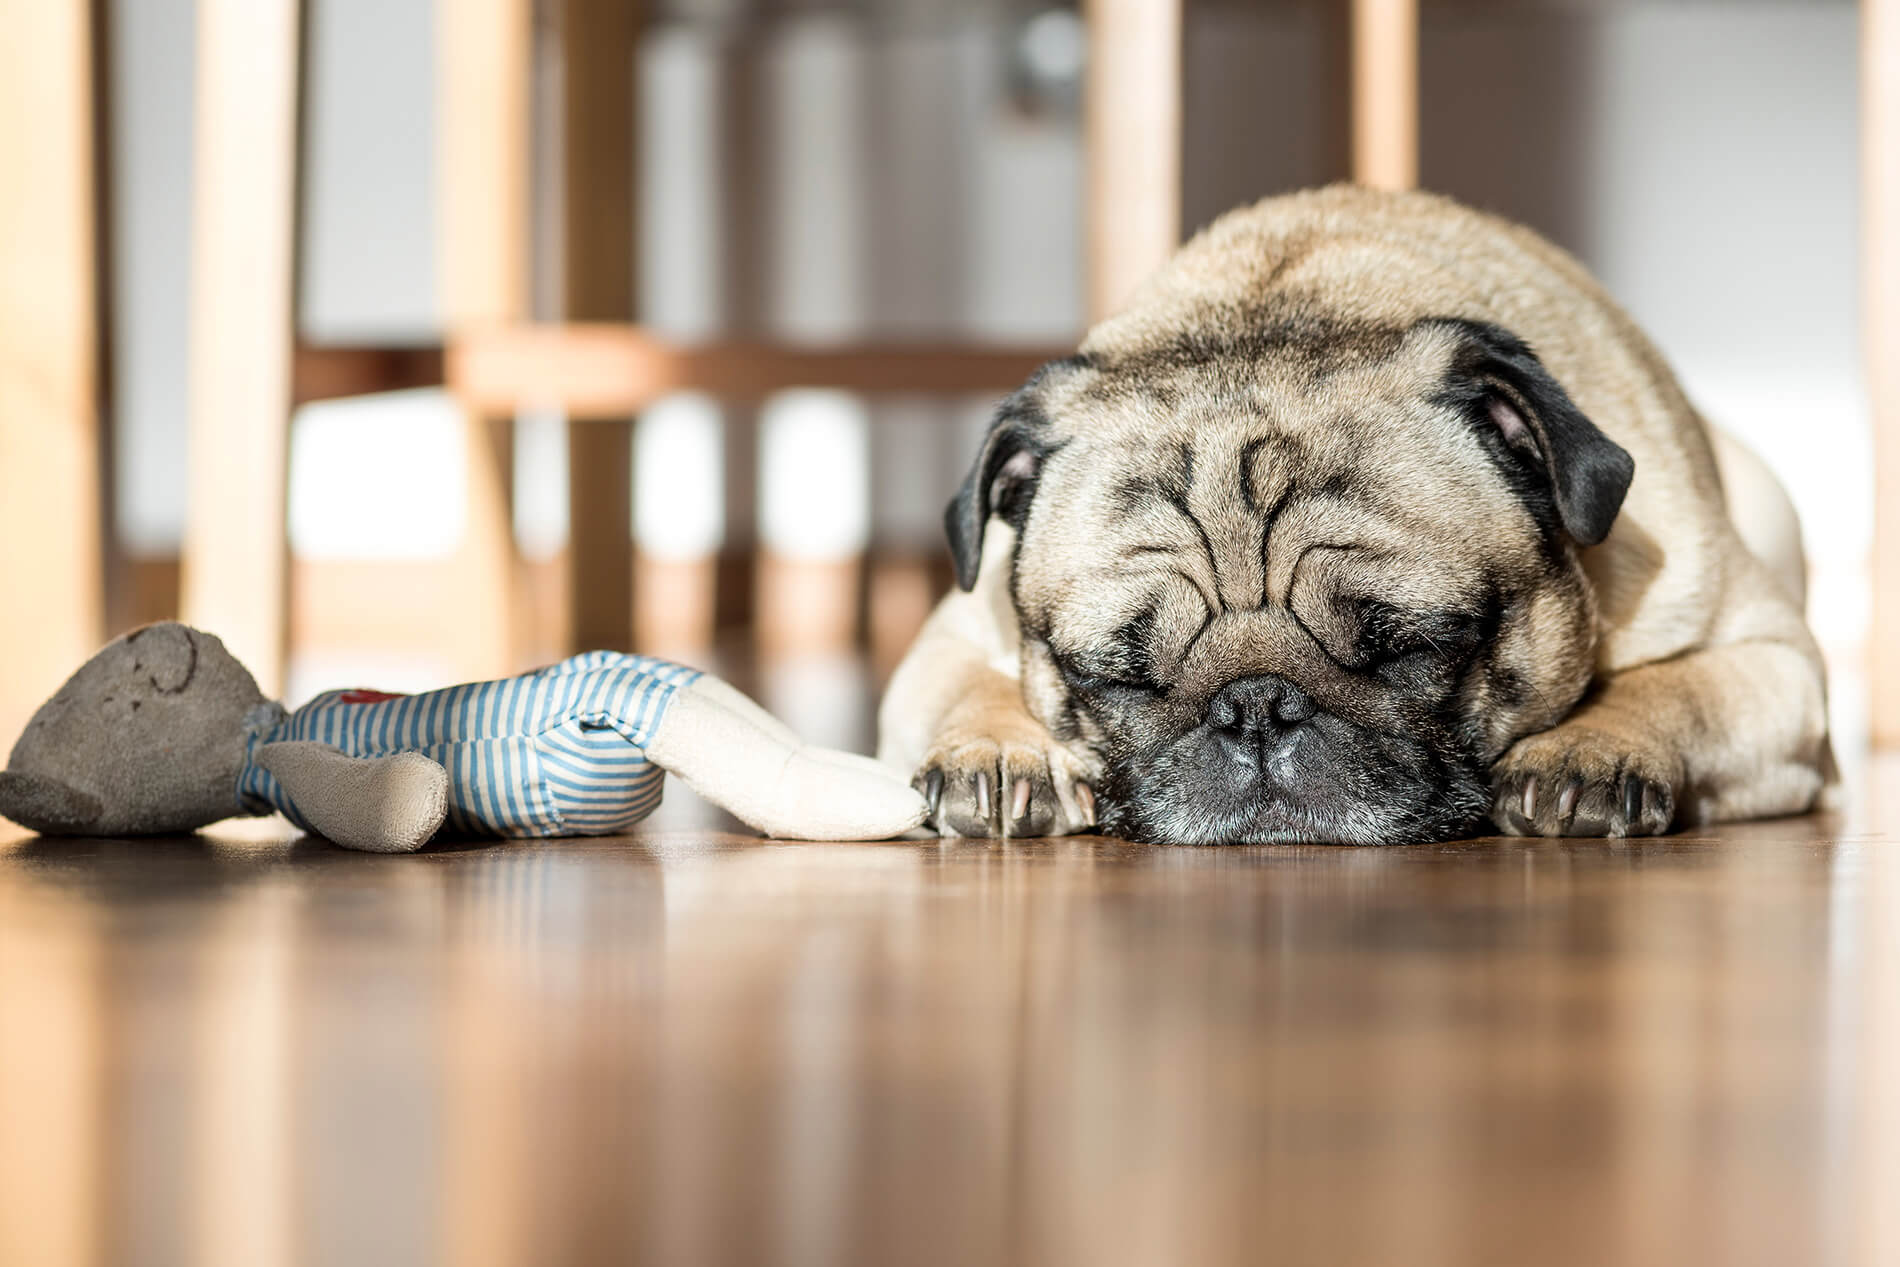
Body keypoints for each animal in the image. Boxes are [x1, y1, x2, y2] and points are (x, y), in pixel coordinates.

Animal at [874, 186, 1824, 843]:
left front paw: (1592, 745)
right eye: (1117, 676)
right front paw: (1001, 749)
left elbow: (1677, 685)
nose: (1256, 707)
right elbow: (971, 684)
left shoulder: (1775, 662)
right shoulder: (951, 636)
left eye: (1412, 646)